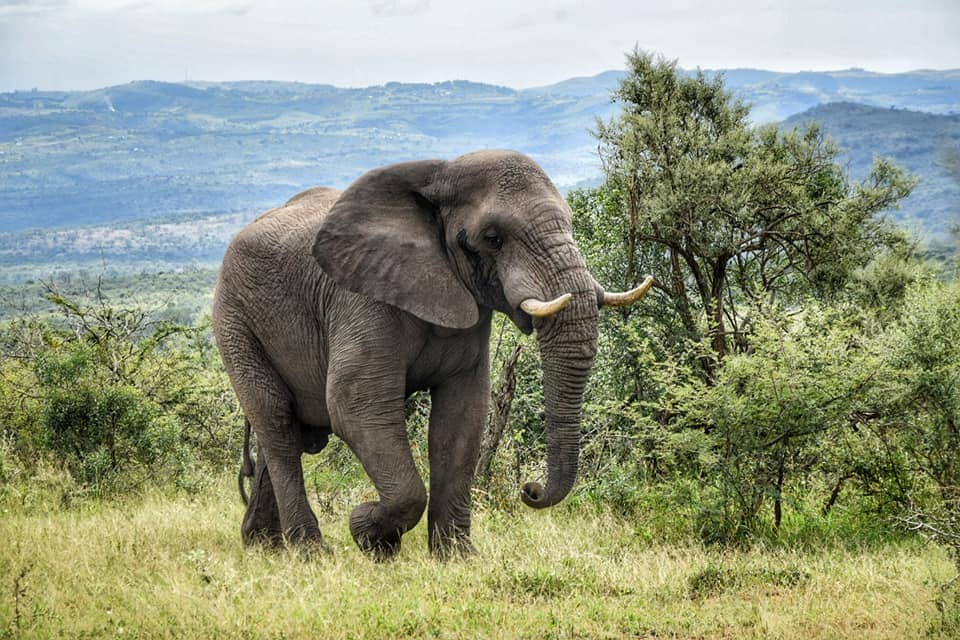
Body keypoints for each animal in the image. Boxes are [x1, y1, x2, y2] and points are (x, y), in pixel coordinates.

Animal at [212, 149, 652, 556]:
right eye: (492, 238)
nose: (531, 489)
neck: (439, 175)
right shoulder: (361, 300)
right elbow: (356, 405)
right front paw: (368, 533)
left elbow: (461, 417)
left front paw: (456, 558)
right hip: (235, 322)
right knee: (278, 424)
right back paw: (310, 553)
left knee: (287, 435)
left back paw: (264, 545)